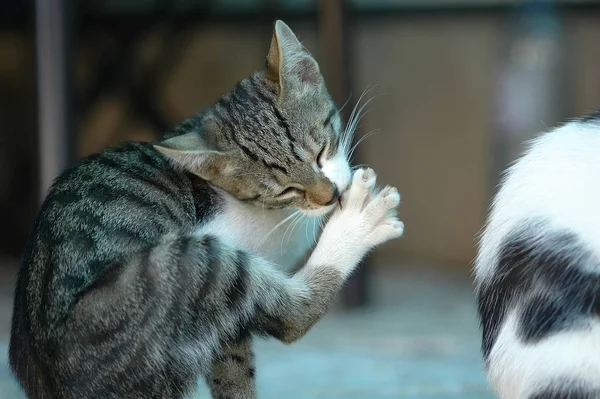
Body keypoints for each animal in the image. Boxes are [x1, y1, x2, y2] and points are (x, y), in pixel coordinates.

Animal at [8, 19, 404, 399]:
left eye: (320, 152)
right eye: (285, 190)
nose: (330, 196)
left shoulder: (223, 328)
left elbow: (231, 365)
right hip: (184, 265)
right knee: (293, 315)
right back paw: (358, 222)